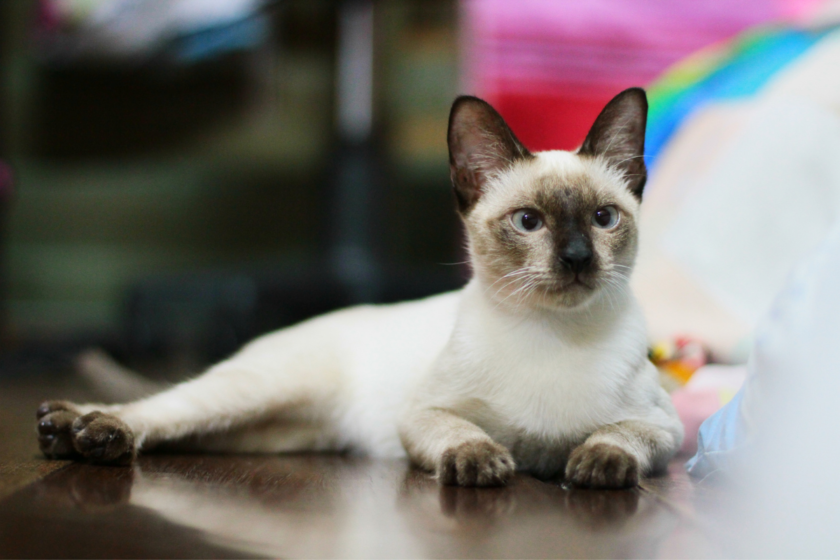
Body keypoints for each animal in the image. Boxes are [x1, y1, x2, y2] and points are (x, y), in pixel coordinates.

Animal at [36, 87, 684, 486]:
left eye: (603, 219)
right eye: (529, 222)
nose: (576, 258)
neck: (552, 333)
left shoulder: (664, 429)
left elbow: (617, 437)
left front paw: (594, 465)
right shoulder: (422, 415)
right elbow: (464, 435)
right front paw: (483, 463)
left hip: (268, 433)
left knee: (183, 431)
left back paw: (72, 431)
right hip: (253, 392)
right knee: (157, 407)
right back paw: (76, 429)